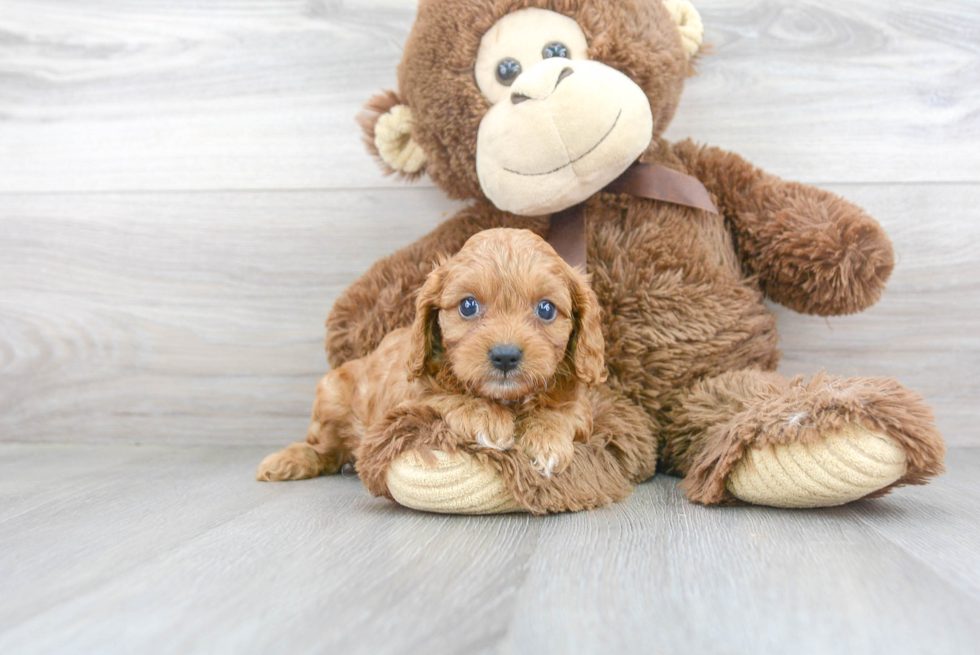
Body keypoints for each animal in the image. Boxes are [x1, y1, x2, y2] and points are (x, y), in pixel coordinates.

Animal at [256, 229, 604, 482]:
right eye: (468, 306)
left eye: (546, 309)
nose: (505, 356)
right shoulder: (404, 400)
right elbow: (439, 397)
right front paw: (485, 415)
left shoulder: (582, 406)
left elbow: (563, 412)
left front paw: (546, 438)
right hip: (331, 396)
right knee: (323, 448)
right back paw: (287, 460)